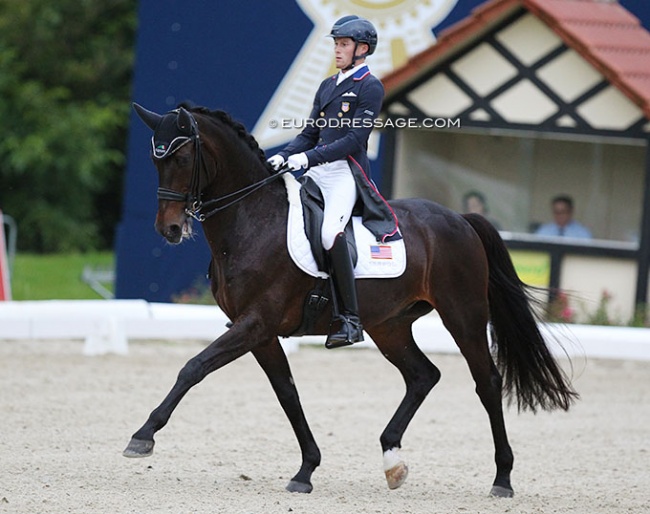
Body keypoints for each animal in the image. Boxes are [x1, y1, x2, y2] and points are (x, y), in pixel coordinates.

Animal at [124, 103, 576, 496]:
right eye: (155, 160)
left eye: (183, 158)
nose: (169, 229)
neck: (252, 219)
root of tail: (460, 219)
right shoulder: (259, 332)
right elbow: (287, 393)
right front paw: (306, 470)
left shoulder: (256, 322)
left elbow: (194, 367)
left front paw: (143, 436)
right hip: (389, 324)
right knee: (422, 375)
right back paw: (393, 461)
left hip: (462, 315)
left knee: (487, 382)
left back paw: (502, 478)